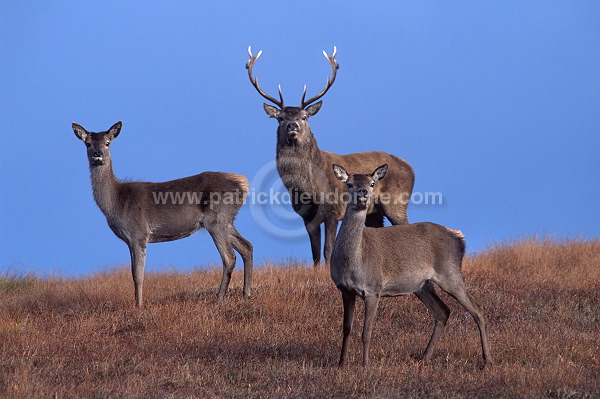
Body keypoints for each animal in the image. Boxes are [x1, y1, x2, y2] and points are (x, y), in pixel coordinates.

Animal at [72, 120, 253, 308]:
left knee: (229, 257)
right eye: (88, 143)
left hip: (216, 220)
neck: (116, 202)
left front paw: (139, 306)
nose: (97, 154)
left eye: (108, 143)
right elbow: (134, 273)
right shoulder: (131, 239)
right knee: (247, 246)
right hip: (227, 220)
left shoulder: (138, 234)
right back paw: (246, 294)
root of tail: (243, 184)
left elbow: (137, 275)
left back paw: (219, 298)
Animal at [246, 47, 414, 268]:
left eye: (304, 117)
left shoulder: (333, 209)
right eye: (280, 118)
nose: (292, 125)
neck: (308, 188)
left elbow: (328, 249)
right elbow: (315, 252)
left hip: (397, 202)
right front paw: (317, 270)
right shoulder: (306, 215)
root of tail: (410, 168)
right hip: (374, 212)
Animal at [330, 164, 490, 368]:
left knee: (477, 310)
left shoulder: (373, 288)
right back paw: (425, 357)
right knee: (443, 311)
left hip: (450, 273)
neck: (352, 261)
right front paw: (341, 364)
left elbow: (367, 331)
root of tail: (458, 236)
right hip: (422, 286)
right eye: (349, 184)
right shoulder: (345, 290)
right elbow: (346, 328)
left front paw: (365, 365)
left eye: (372, 183)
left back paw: (487, 360)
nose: (363, 192)